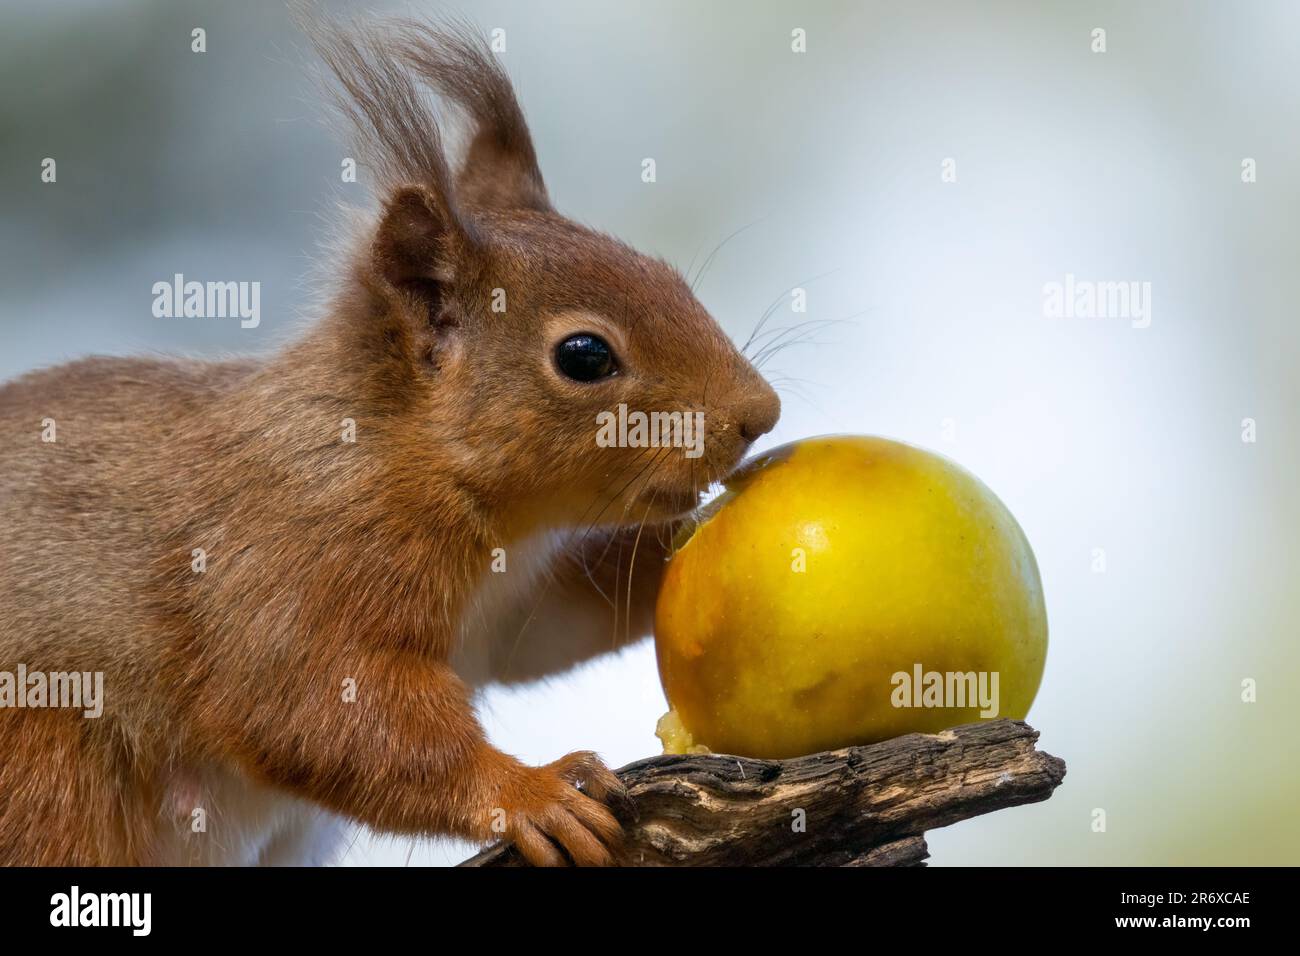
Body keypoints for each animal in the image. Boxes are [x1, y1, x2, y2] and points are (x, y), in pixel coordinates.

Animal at [0, 16, 779, 866]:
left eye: (666, 274)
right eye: (584, 356)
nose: (761, 414)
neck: (404, 452)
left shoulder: (507, 613)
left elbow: (560, 625)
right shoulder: (294, 561)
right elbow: (307, 706)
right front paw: (533, 793)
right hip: (45, 766)